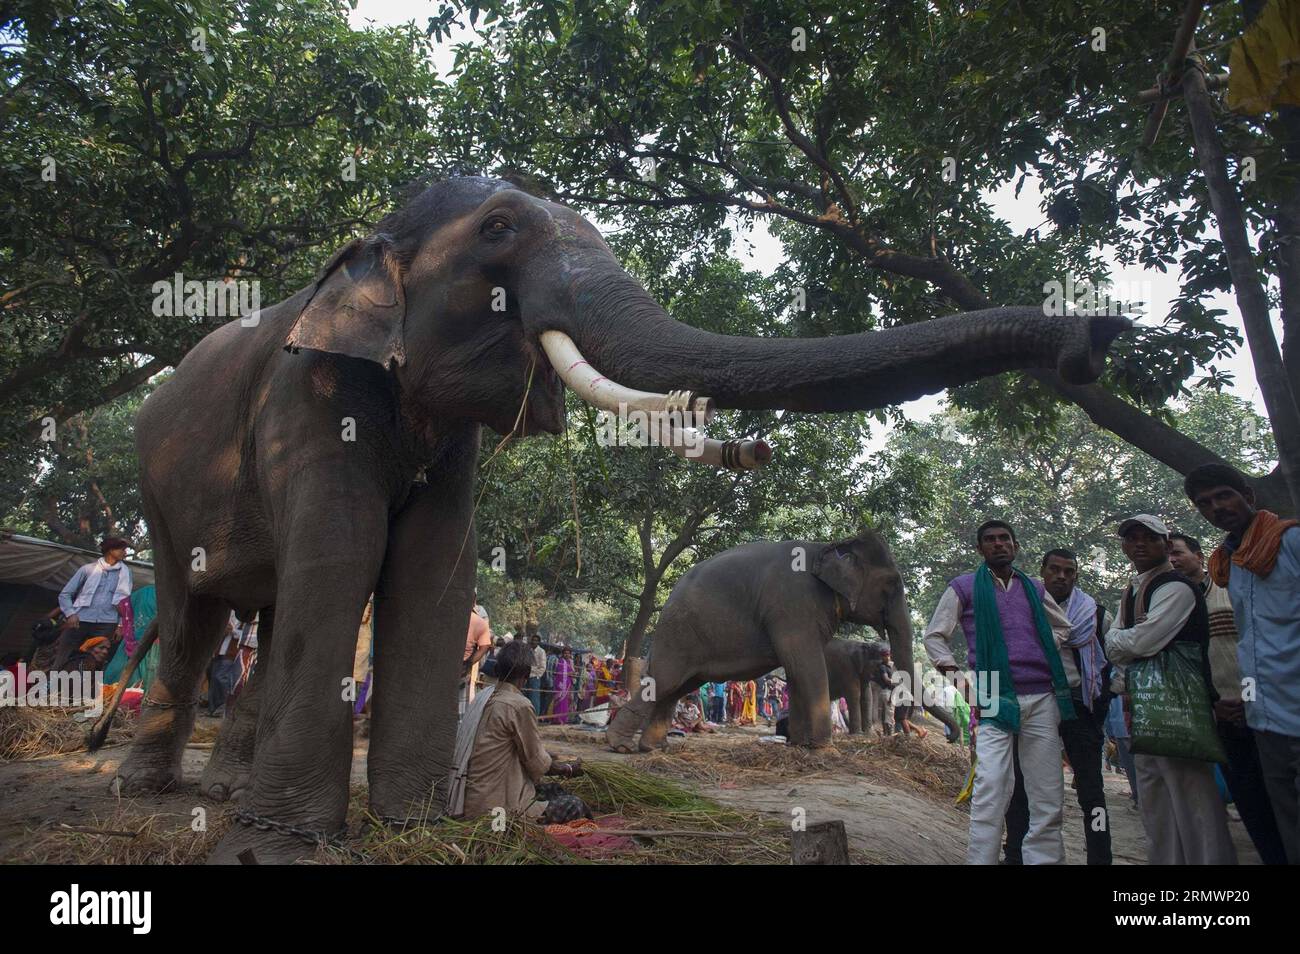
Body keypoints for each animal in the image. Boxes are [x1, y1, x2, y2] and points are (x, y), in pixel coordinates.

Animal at [605, 530, 920, 753]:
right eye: (892, 584)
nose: (904, 727)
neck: (829, 544)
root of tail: (670, 594)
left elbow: (798, 670)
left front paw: (800, 746)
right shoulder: (793, 604)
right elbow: (807, 664)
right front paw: (826, 751)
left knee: (679, 686)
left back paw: (654, 747)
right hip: (679, 633)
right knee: (666, 680)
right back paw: (620, 745)